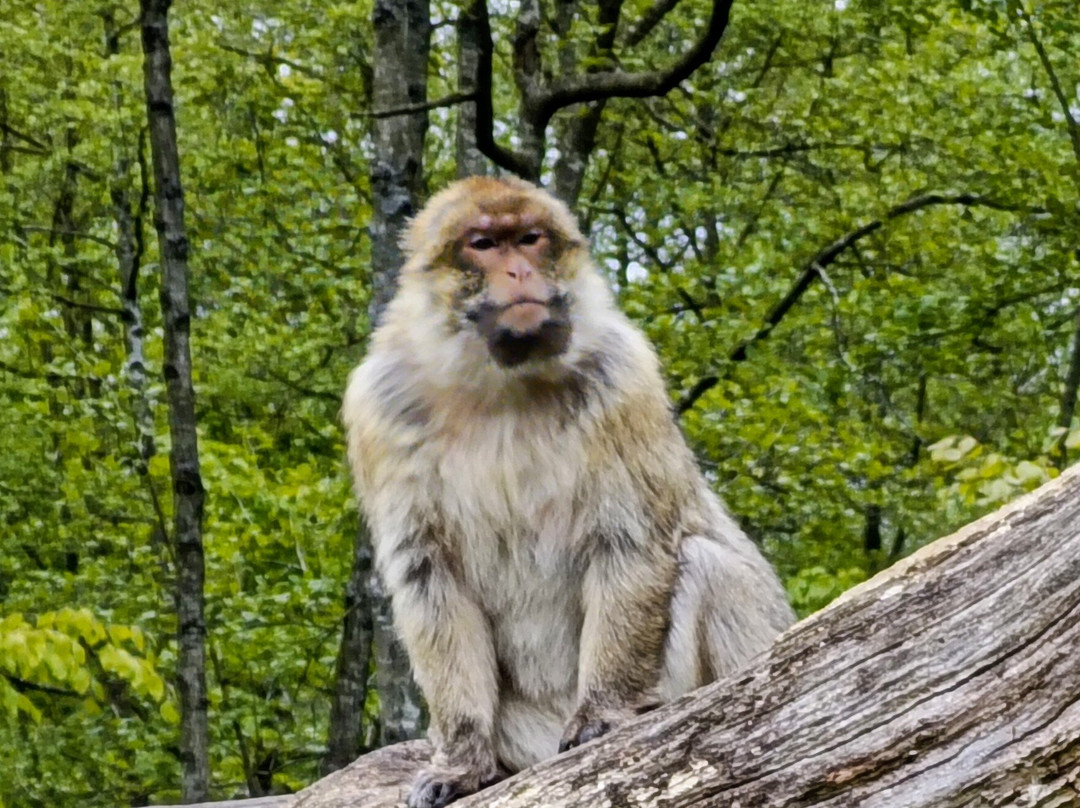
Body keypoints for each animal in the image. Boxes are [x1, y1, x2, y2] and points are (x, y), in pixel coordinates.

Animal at [342, 176, 794, 808]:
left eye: (530, 239)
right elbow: (429, 577)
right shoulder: (378, 412)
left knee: (709, 565)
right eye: (484, 244)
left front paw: (603, 714)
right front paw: (462, 760)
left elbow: (630, 540)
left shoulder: (623, 379)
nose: (519, 271)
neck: (499, 386)